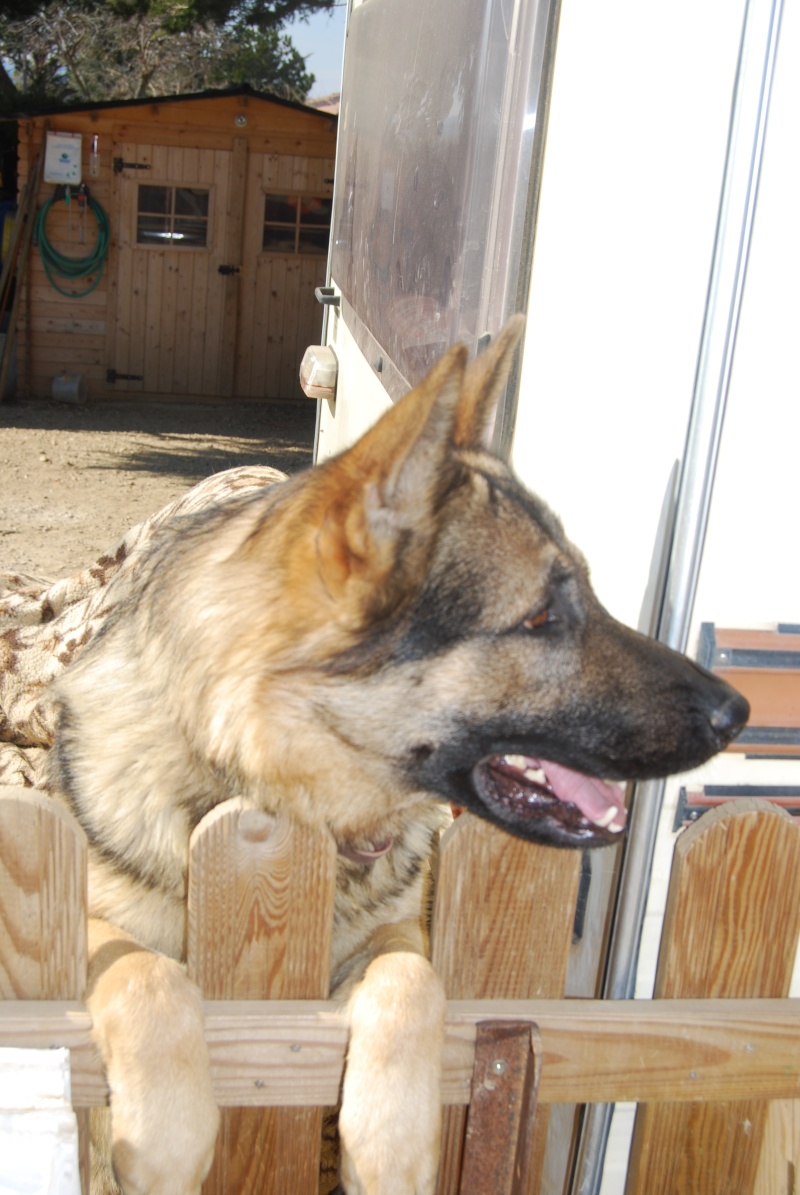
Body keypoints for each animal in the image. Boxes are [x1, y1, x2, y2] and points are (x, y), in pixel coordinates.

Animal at [43, 320, 746, 1195]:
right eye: (540, 617)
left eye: (589, 587)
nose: (739, 712)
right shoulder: (83, 934)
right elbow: (145, 971)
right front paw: (168, 1134)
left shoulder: (400, 937)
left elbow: (416, 983)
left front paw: (390, 1142)